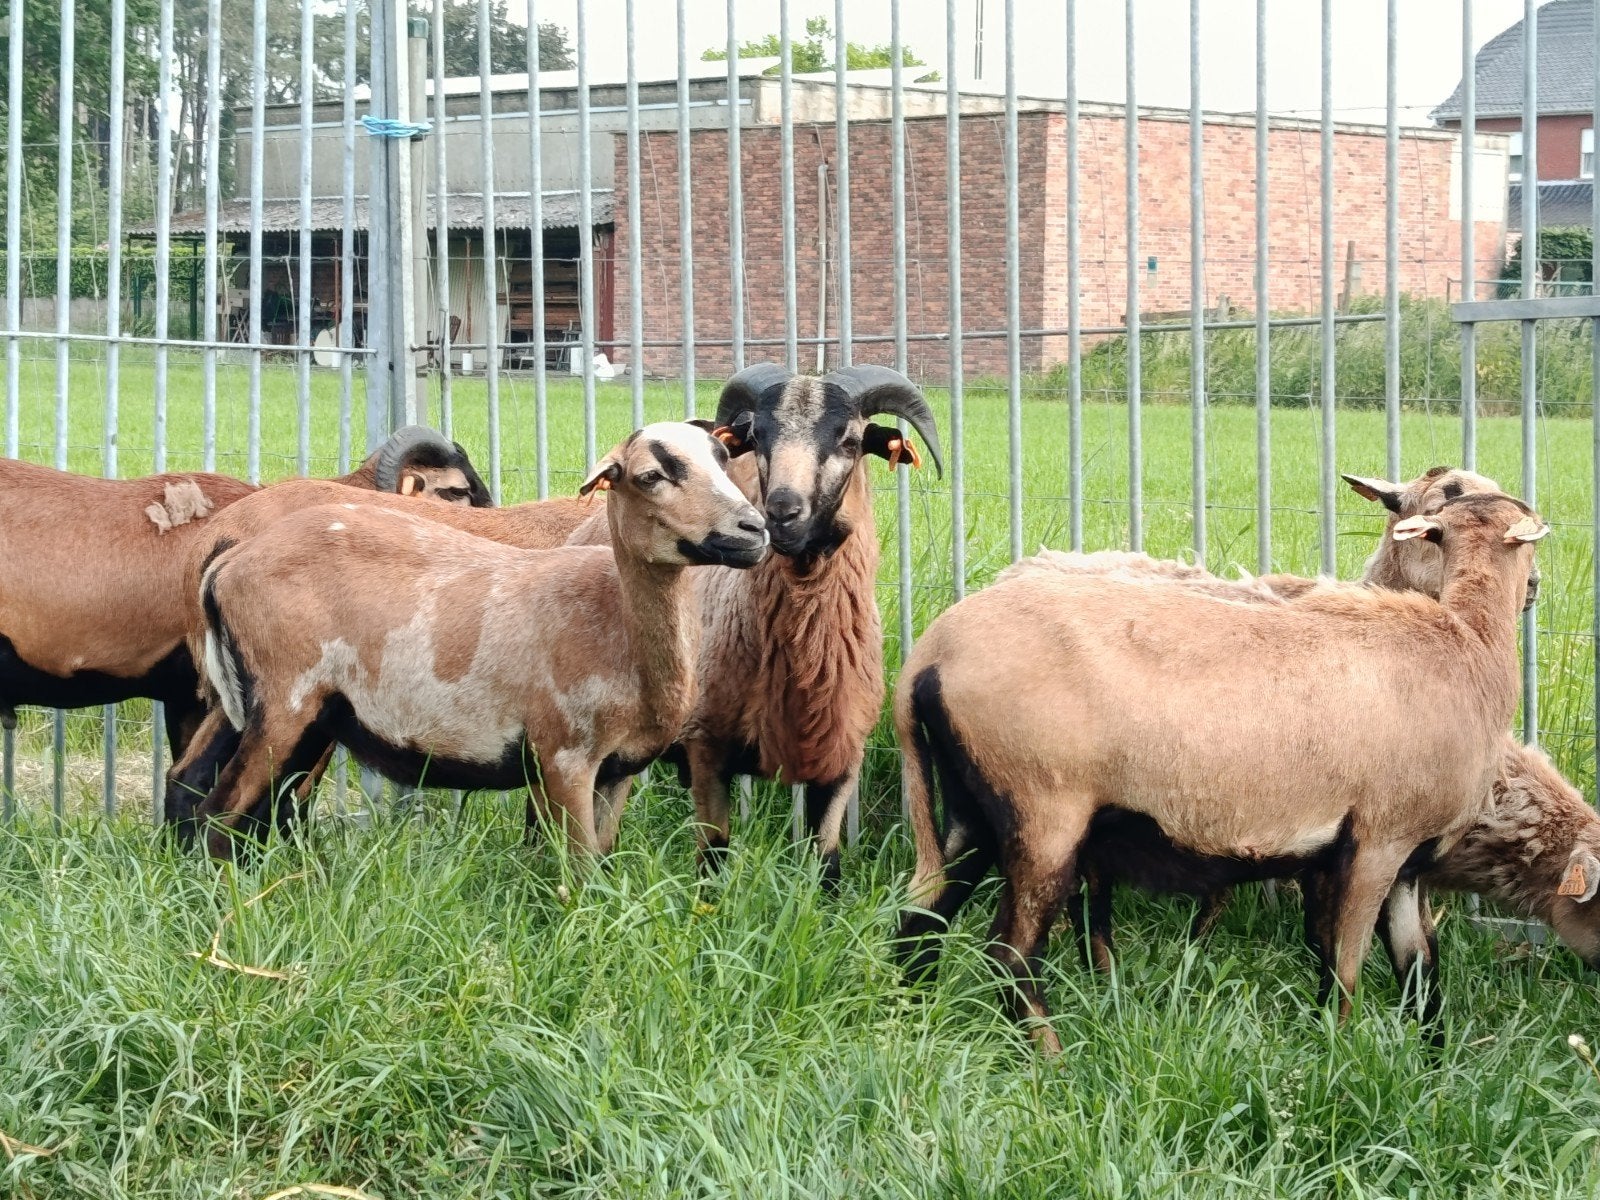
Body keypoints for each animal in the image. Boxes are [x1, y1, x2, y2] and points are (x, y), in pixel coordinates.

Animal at [189, 422, 767, 861]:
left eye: (725, 462)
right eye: (651, 476)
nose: (754, 530)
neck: (620, 627)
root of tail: (228, 561)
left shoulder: (617, 770)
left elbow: (597, 862)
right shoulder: (565, 758)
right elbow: (578, 871)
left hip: (309, 719)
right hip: (282, 704)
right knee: (217, 815)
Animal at [567, 363, 943, 883]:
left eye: (850, 440)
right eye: (758, 435)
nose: (781, 513)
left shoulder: (842, 761)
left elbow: (826, 863)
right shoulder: (706, 751)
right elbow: (713, 858)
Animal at [892, 491, 1548, 1052]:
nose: (1537, 588)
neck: (1471, 647)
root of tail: (929, 654)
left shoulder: (1407, 862)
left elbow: (1420, 970)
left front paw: (1434, 1061)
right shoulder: (1377, 842)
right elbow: (1345, 966)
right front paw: (1336, 1052)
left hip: (973, 807)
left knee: (922, 915)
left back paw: (912, 1018)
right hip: (1043, 810)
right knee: (1009, 954)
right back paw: (1052, 1059)